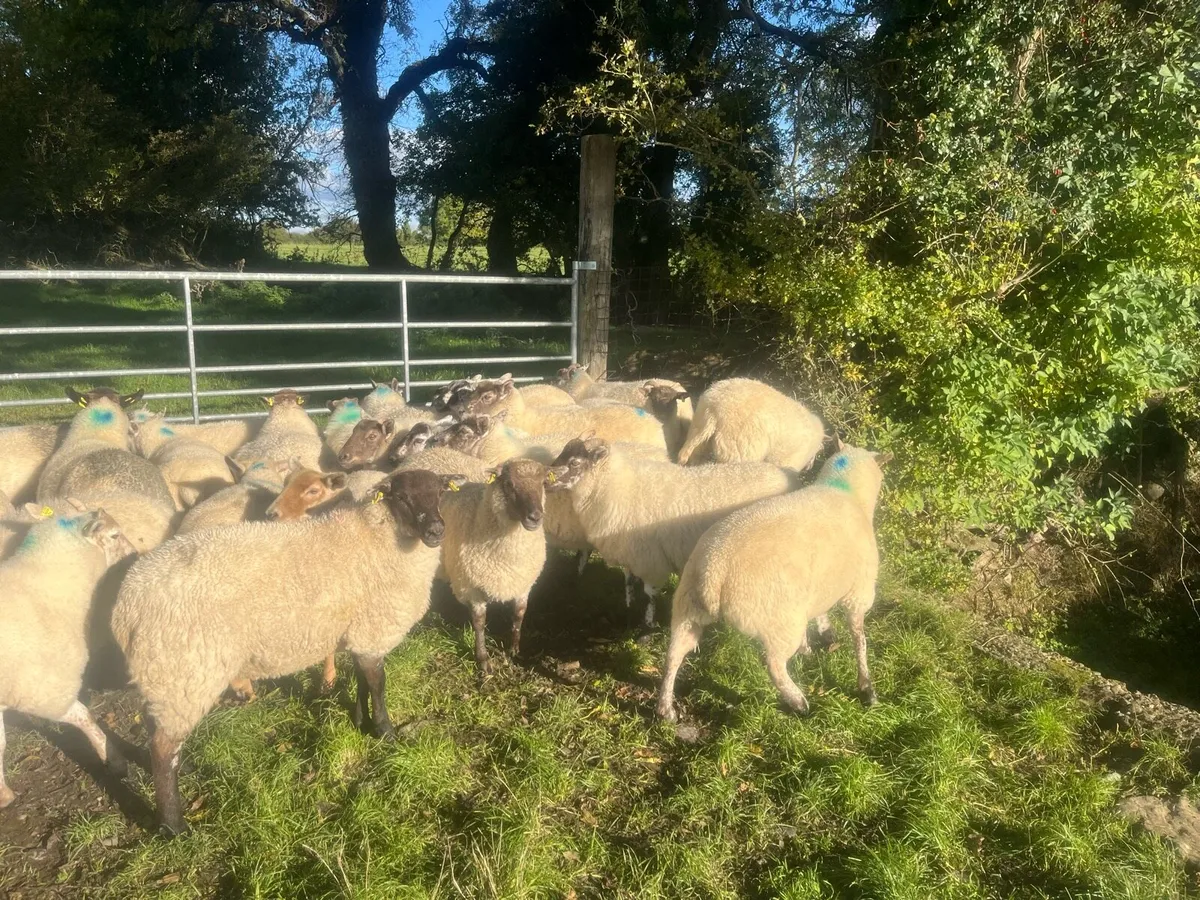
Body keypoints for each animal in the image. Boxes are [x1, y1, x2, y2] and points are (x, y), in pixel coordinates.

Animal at [0, 507, 135, 809]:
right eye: (114, 535)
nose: (136, 554)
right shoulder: (45, 690)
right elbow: (85, 716)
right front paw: (114, 760)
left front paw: (2, 794)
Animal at [112, 468, 464, 834]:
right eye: (402, 497)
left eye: (440, 492)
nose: (436, 531)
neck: (379, 535)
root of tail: (125, 607)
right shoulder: (374, 630)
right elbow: (379, 686)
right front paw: (386, 735)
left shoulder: (361, 631)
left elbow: (363, 683)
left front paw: (359, 721)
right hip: (184, 674)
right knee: (163, 750)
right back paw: (174, 827)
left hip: (163, 676)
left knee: (156, 733)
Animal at [548, 438, 797, 624]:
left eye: (574, 462)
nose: (545, 482)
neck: (617, 487)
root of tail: (785, 476)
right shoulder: (630, 550)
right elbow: (628, 579)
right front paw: (628, 606)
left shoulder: (650, 558)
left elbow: (649, 594)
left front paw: (647, 627)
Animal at [656, 445, 890, 721]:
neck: (846, 493)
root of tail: (713, 572)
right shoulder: (859, 592)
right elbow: (859, 639)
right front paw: (867, 688)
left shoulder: (815, 590)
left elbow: (819, 615)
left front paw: (813, 642)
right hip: (779, 621)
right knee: (774, 665)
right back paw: (798, 701)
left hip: (687, 606)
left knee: (673, 655)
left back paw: (666, 708)